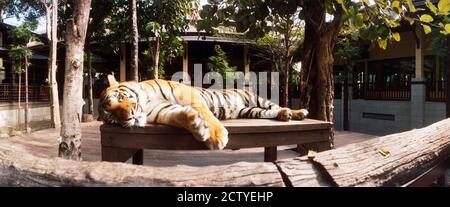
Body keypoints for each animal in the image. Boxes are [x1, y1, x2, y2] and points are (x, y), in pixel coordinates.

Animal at [97, 75, 310, 150]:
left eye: (120, 99)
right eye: (113, 118)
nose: (129, 116)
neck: (146, 103)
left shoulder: (187, 94)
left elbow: (207, 113)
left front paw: (216, 137)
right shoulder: (163, 111)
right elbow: (179, 116)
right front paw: (195, 124)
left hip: (257, 100)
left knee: (275, 106)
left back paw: (297, 112)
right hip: (251, 110)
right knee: (268, 113)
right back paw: (285, 115)